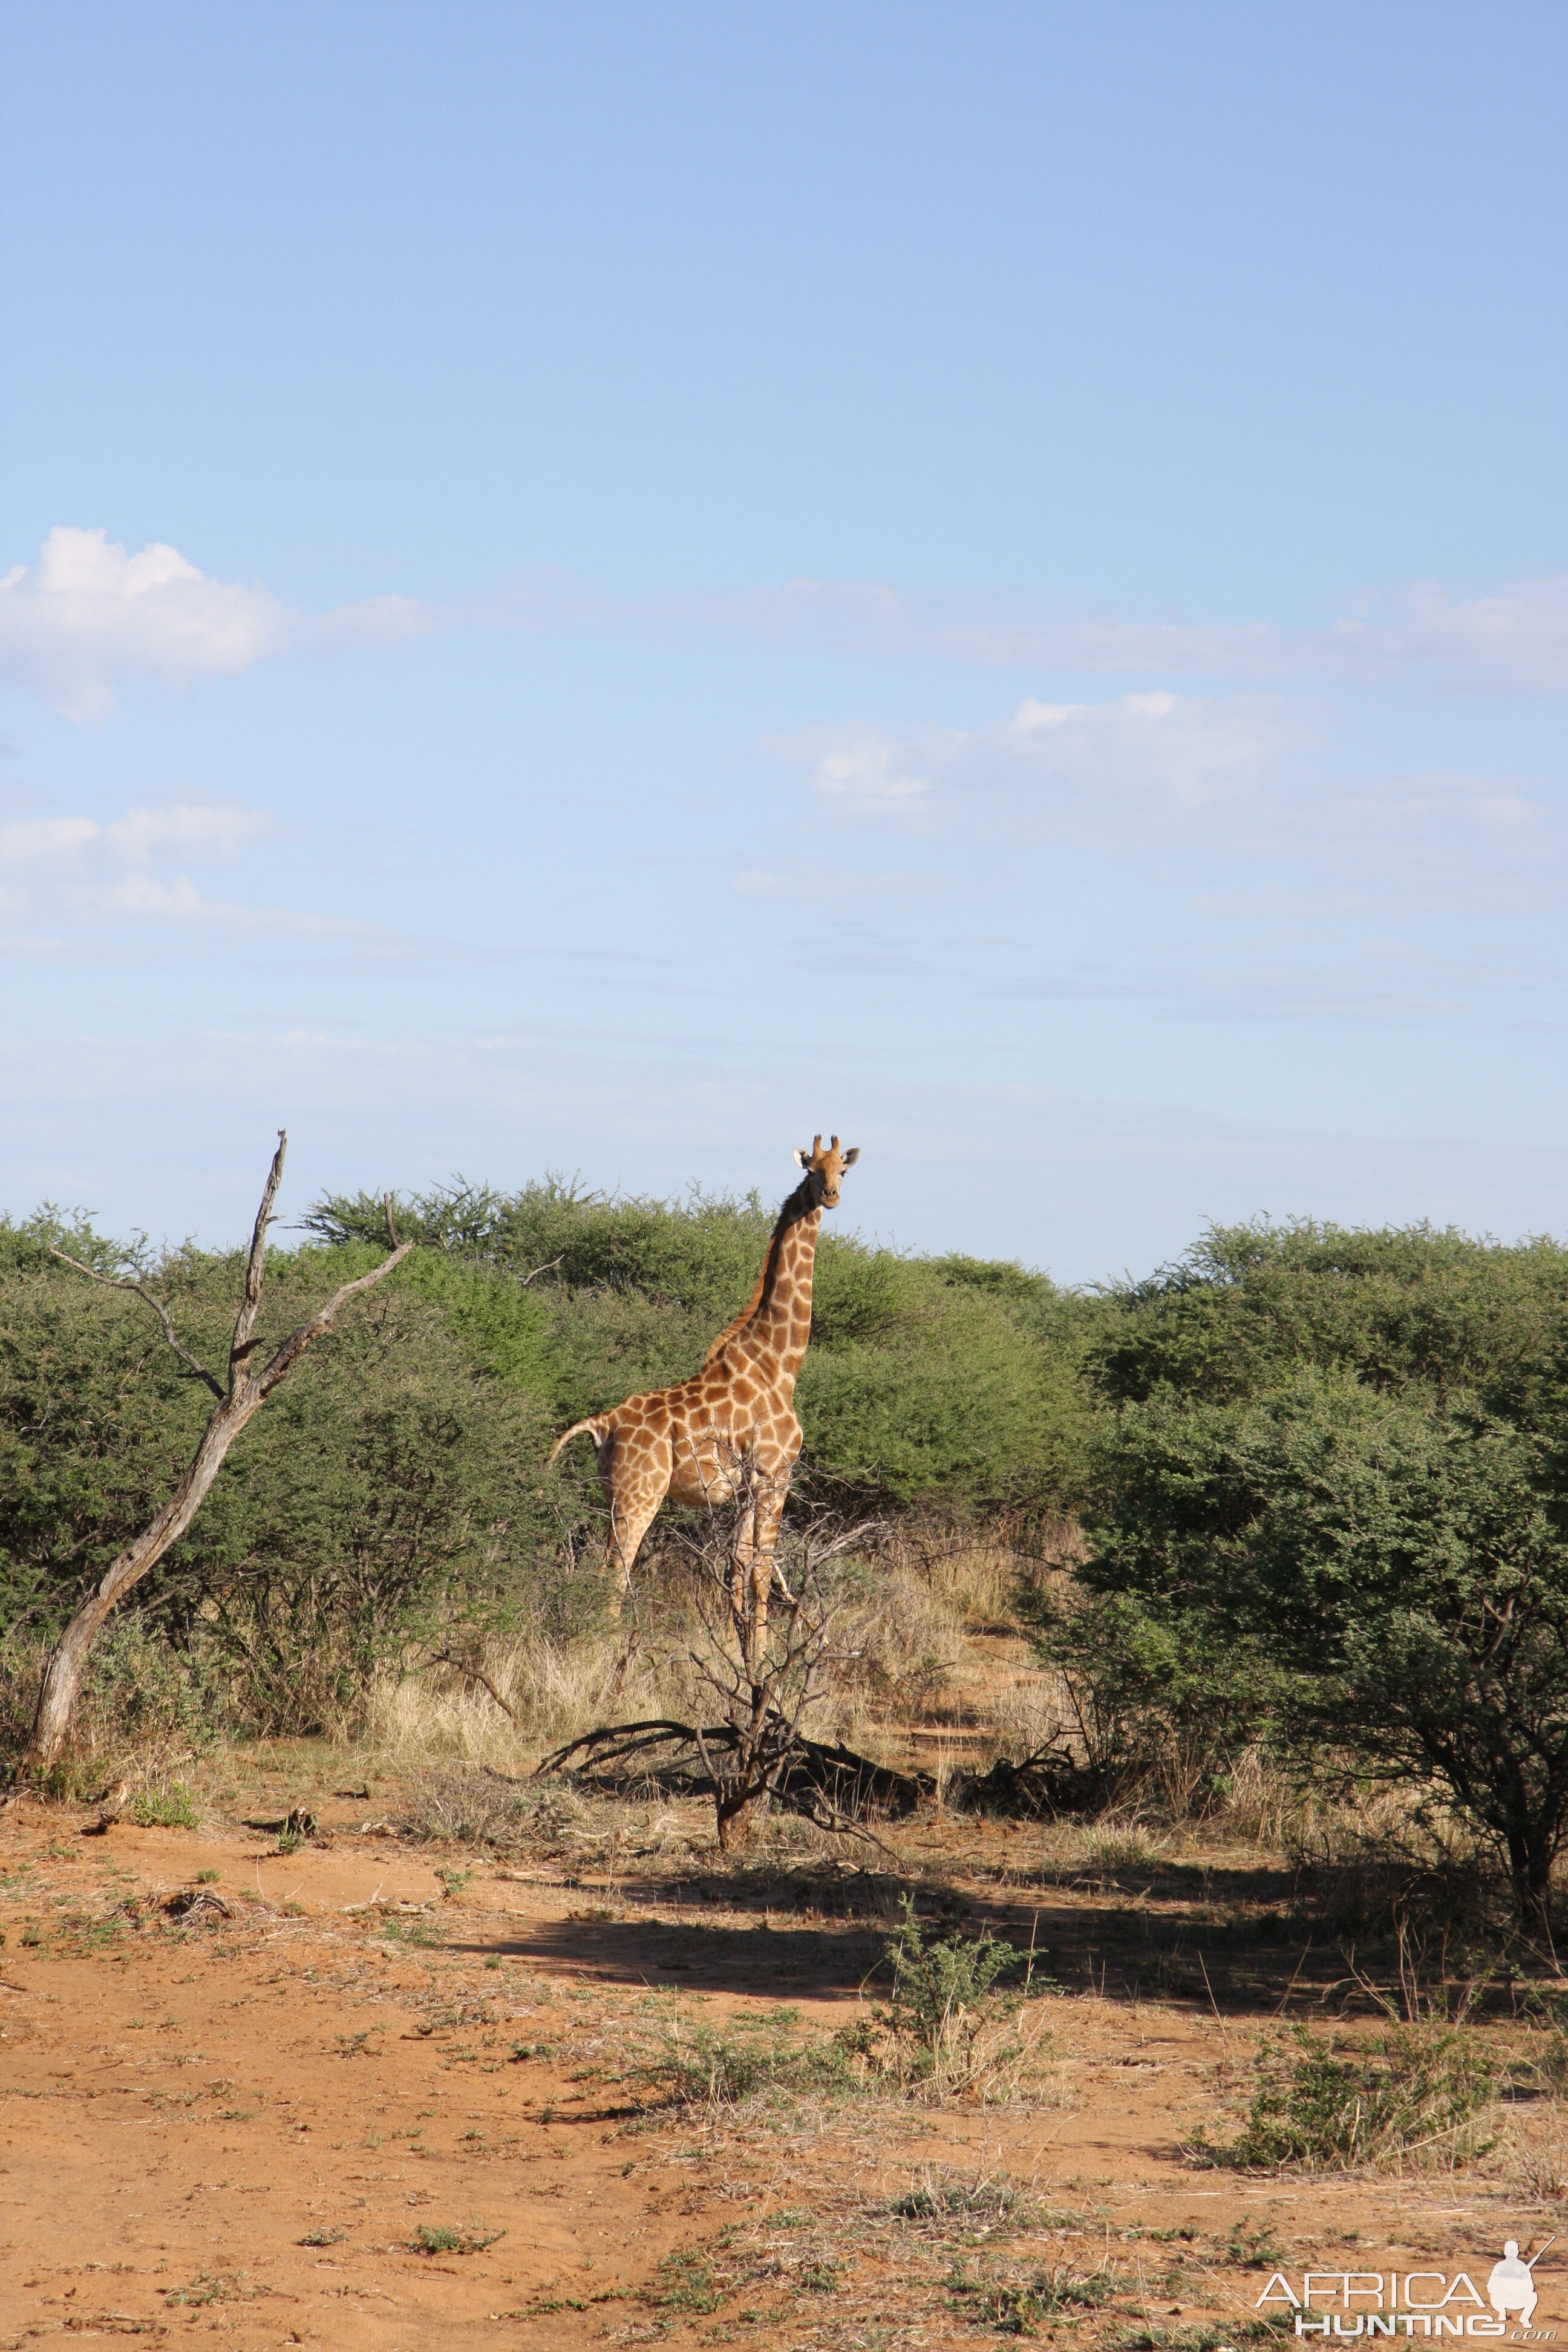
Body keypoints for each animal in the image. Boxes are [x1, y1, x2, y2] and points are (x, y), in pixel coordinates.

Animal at [550, 1134, 865, 1656]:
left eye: (843, 1169)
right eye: (811, 1170)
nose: (831, 1195)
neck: (781, 1363)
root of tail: (603, 1424)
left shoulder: (745, 1488)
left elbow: (738, 1567)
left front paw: (740, 1648)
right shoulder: (774, 1474)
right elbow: (762, 1570)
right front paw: (762, 1658)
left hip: (611, 1494)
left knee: (601, 1567)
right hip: (641, 1495)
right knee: (616, 1571)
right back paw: (605, 1651)